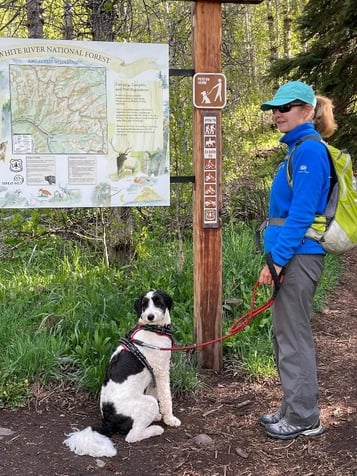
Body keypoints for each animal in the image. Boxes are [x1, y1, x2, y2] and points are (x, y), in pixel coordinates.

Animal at [63, 290, 181, 458]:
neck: (152, 328)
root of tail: (108, 420)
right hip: (147, 404)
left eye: (158, 302)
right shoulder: (161, 370)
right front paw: (170, 419)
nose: (150, 316)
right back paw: (155, 429)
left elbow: (155, 392)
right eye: (144, 304)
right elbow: (166, 398)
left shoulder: (154, 376)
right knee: (132, 436)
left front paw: (159, 415)